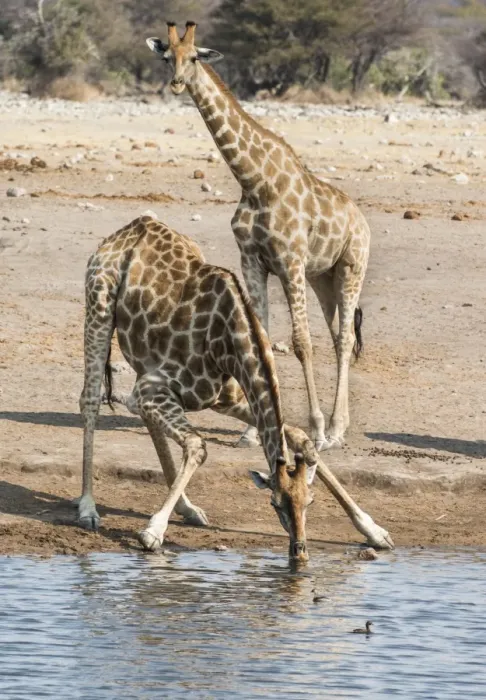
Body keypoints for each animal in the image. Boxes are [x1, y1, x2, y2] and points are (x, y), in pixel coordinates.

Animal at [79, 216, 393, 563]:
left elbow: (300, 438)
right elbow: (197, 445)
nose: (299, 551)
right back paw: (88, 509)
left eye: (309, 501)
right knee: (89, 400)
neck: (227, 343)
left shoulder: (226, 398)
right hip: (99, 305)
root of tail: (135, 225)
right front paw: (153, 531)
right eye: (275, 503)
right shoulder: (152, 389)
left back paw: (189, 509)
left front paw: (374, 530)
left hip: (142, 361)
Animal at [147, 22, 370, 451]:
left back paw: (334, 430)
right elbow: (261, 340)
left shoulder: (290, 262)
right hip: (323, 278)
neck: (254, 181)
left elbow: (301, 342)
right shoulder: (252, 260)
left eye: (195, 56)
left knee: (344, 338)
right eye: (167, 57)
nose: (177, 83)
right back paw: (342, 425)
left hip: (351, 268)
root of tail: (362, 221)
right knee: (341, 334)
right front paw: (253, 431)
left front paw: (316, 429)